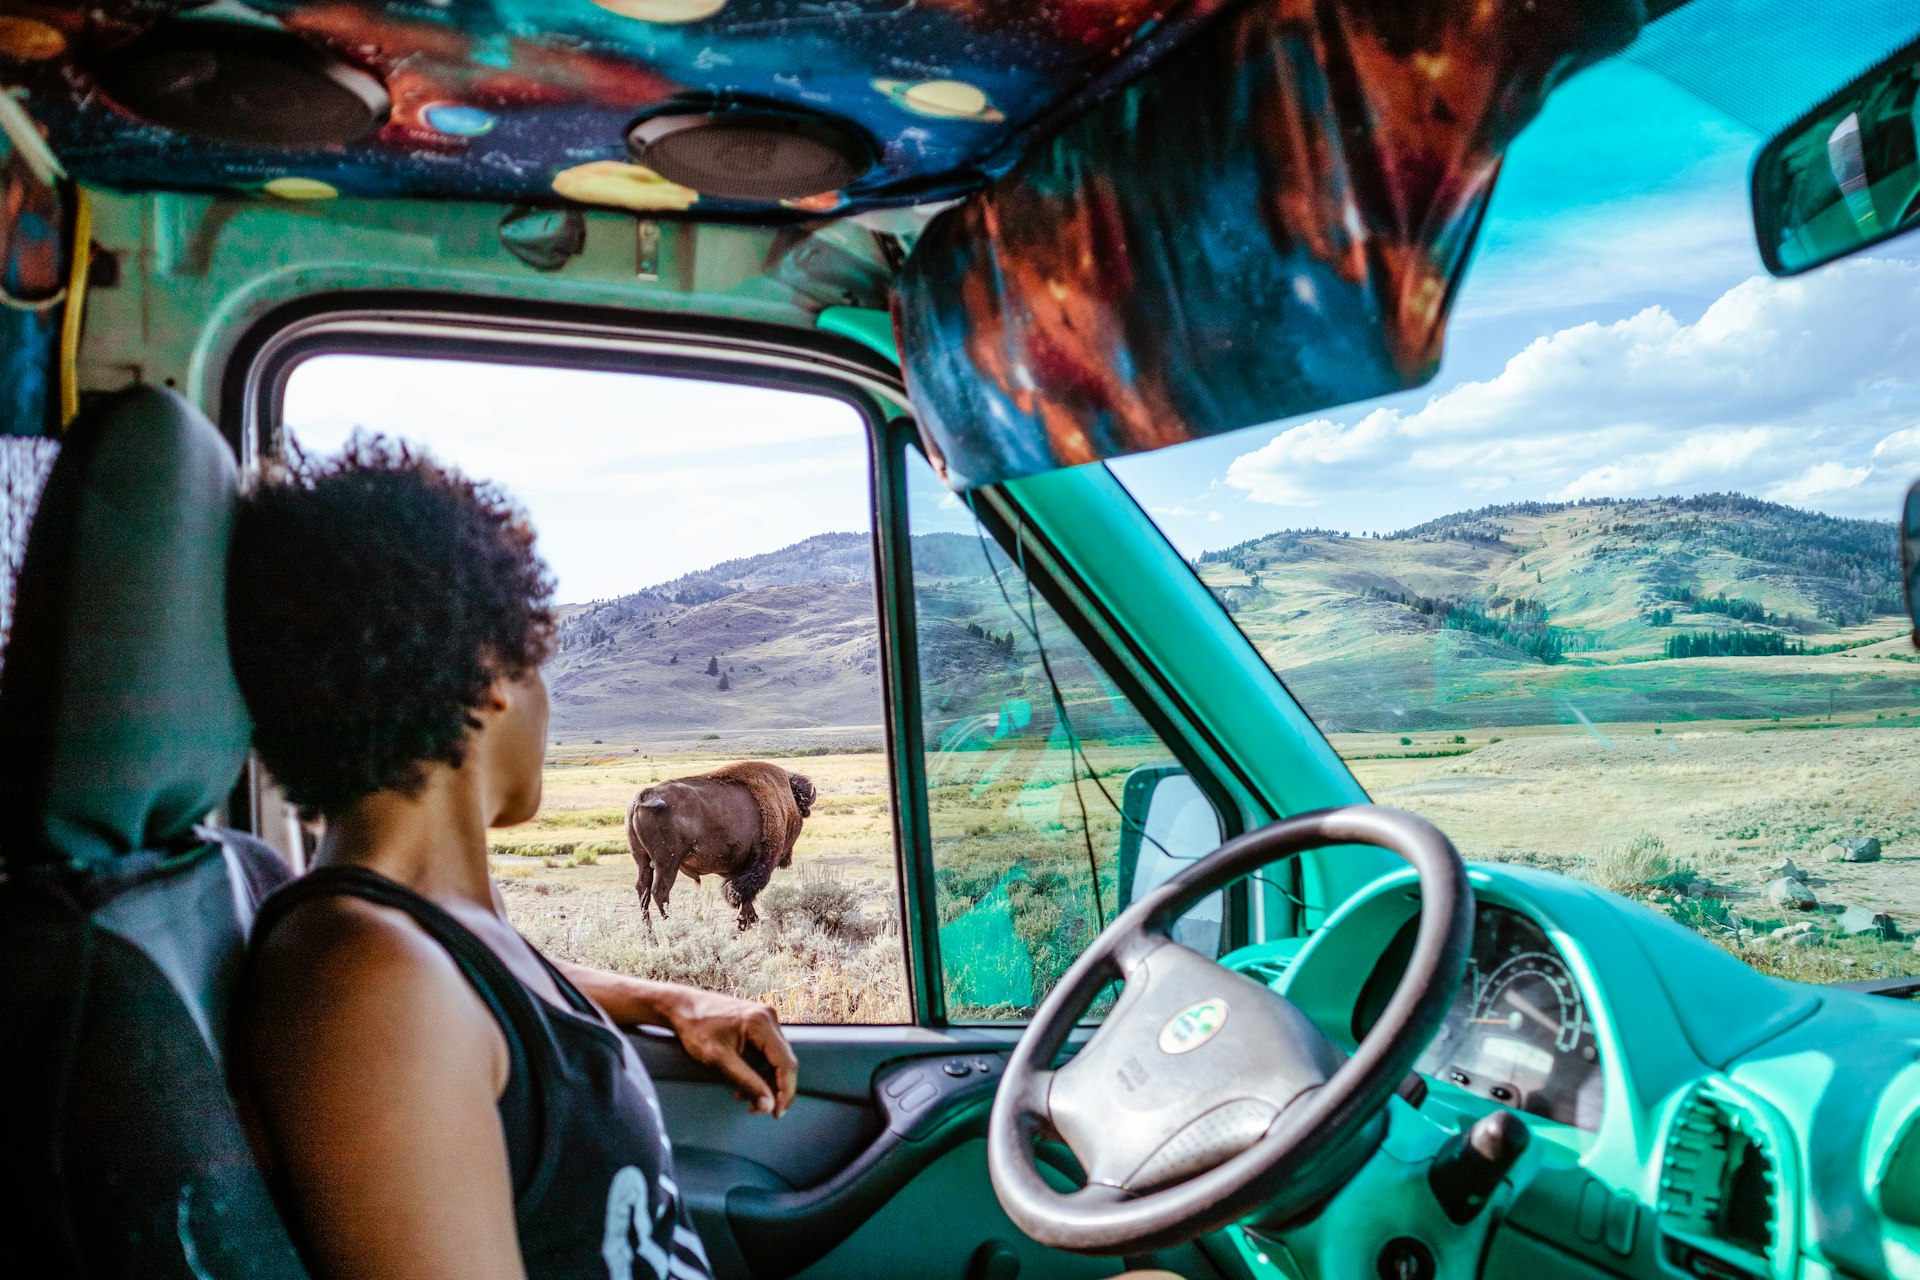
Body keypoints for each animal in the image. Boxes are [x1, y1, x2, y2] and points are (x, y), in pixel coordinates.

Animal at [625, 759, 814, 932]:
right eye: (802, 812)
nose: (787, 859)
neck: (786, 801)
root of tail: (644, 796)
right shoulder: (761, 863)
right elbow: (746, 890)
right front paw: (744, 922)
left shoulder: (737, 867)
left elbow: (738, 892)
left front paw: (750, 920)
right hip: (667, 863)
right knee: (660, 892)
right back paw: (675, 927)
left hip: (642, 859)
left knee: (643, 889)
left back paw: (649, 933)